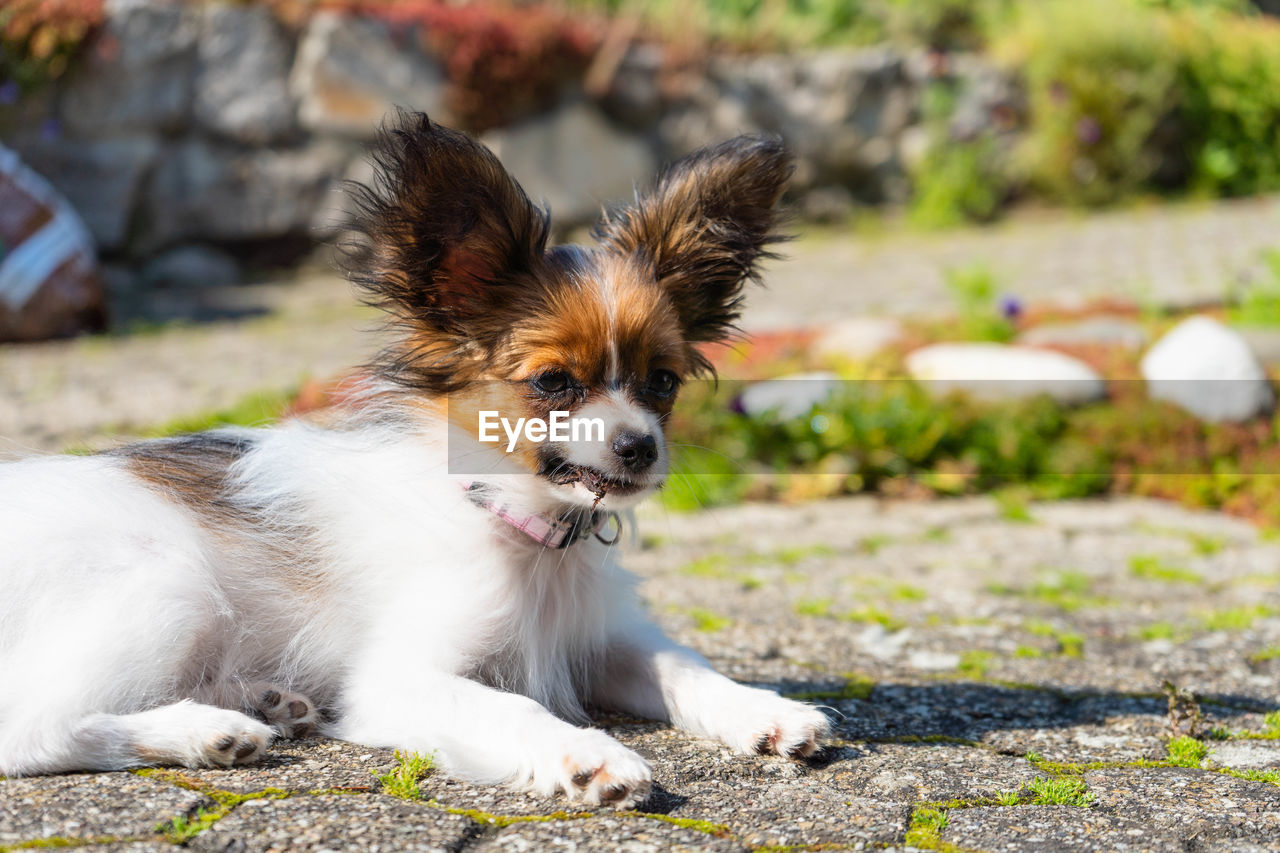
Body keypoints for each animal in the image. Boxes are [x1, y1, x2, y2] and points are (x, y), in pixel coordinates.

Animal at [0, 112, 829, 804]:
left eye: (662, 382)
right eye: (553, 382)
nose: (640, 446)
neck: (521, 529)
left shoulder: (599, 638)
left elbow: (683, 663)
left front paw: (764, 709)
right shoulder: (399, 678)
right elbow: (514, 704)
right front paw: (586, 753)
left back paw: (266, 703)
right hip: (169, 585)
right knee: (27, 731)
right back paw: (206, 731)